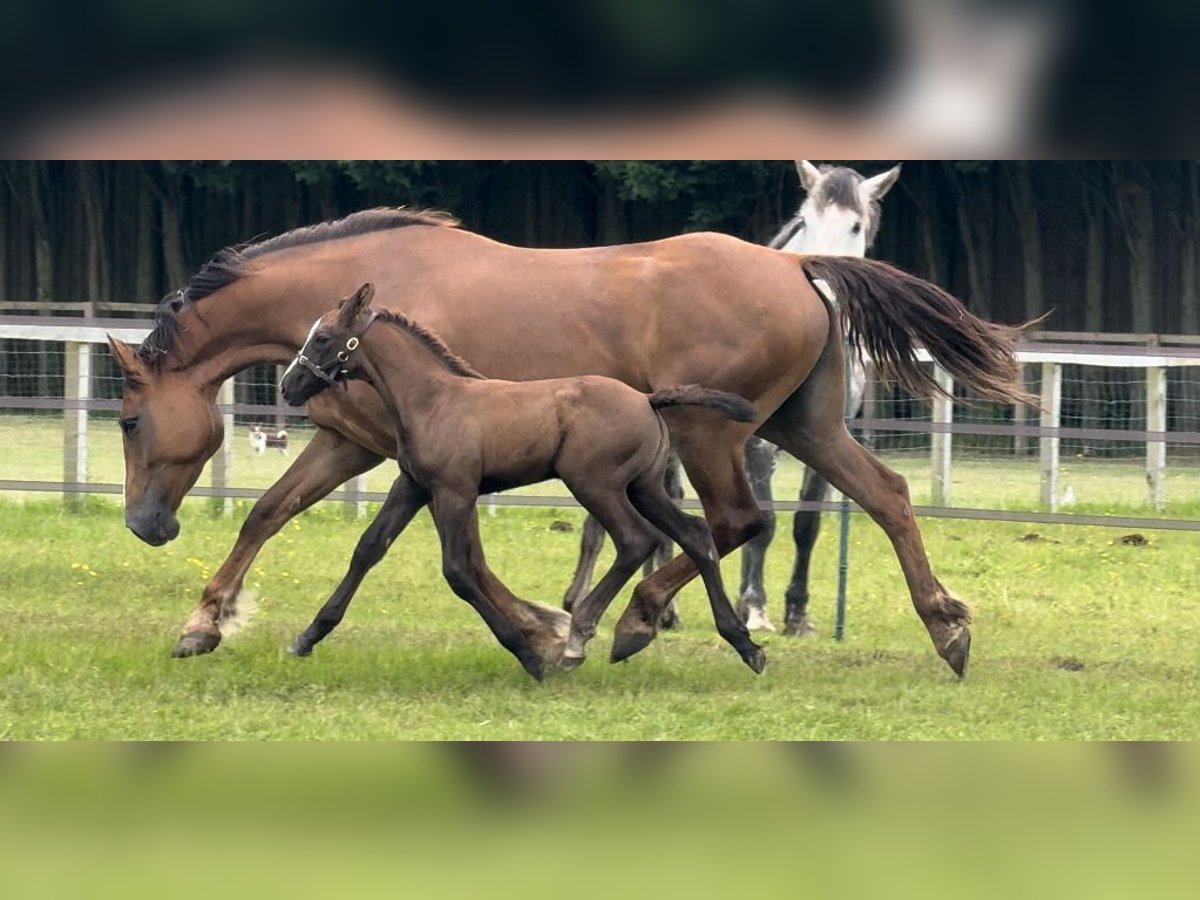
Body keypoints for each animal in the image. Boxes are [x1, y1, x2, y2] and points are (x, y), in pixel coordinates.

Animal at [279, 285, 763, 681]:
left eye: (322, 338)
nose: (288, 386)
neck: (432, 400)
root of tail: (647, 399)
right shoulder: (412, 486)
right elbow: (367, 549)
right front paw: (307, 637)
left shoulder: (454, 491)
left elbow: (458, 571)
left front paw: (529, 655)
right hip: (643, 486)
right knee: (695, 534)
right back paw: (743, 644)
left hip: (596, 484)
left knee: (635, 540)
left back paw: (578, 639)